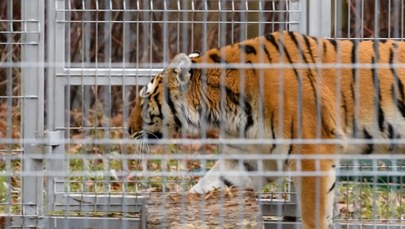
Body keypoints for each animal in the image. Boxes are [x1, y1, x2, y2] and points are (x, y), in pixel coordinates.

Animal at [128, 30, 404, 229]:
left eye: (144, 99)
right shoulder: (249, 157)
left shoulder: (312, 154)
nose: (128, 130)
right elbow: (208, 184)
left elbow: (314, 215)